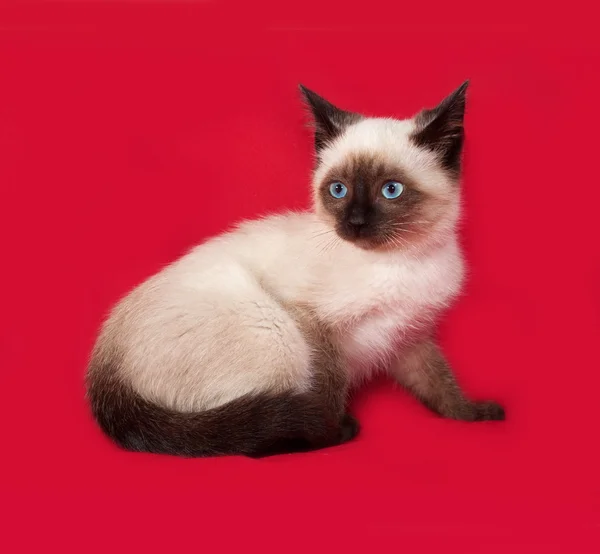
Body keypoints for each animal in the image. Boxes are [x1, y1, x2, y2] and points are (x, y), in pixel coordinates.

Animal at [85, 80, 506, 454]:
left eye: (391, 190)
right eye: (338, 190)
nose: (354, 222)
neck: (403, 260)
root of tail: (105, 368)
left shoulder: (409, 335)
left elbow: (439, 383)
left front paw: (472, 415)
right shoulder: (311, 319)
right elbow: (330, 382)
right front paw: (333, 429)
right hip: (274, 328)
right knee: (241, 435)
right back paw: (322, 433)